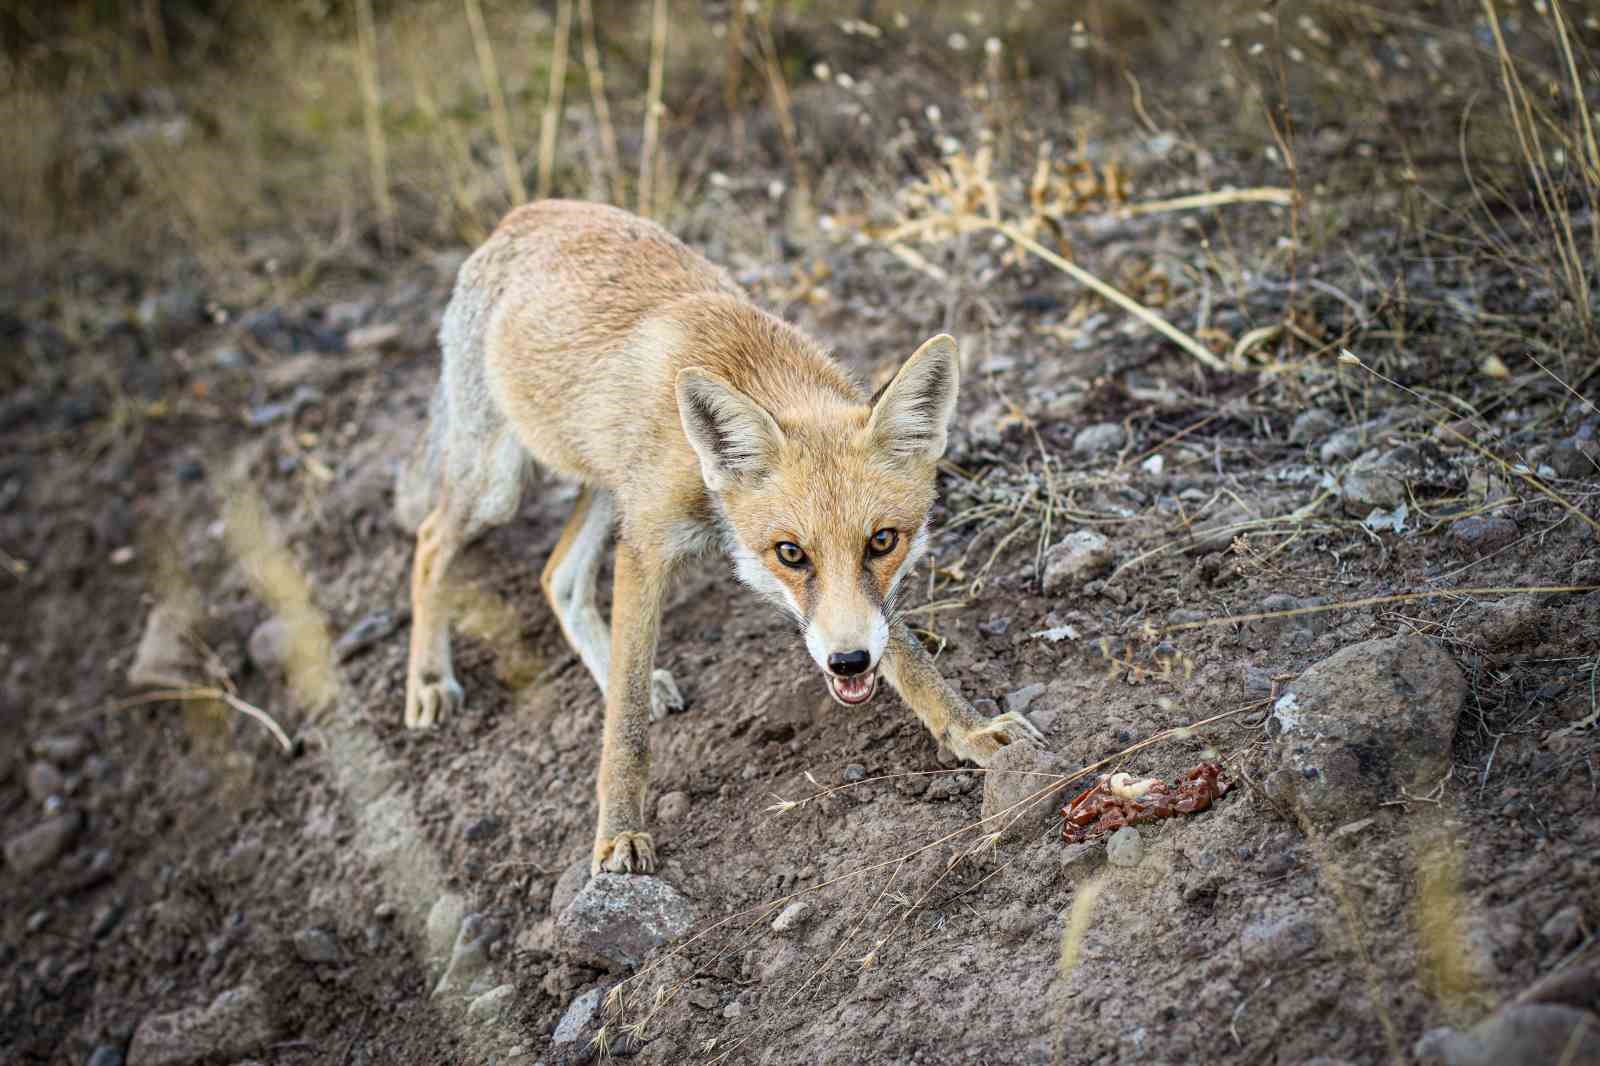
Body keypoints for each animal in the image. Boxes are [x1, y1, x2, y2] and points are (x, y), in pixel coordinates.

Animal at [398, 199, 1043, 870]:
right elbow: (626, 729)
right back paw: (427, 680)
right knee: (431, 544)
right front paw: (618, 831)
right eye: (791, 553)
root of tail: (526, 212)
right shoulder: (645, 549)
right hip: (500, 486)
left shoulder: (860, 610)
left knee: (558, 577)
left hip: (608, 487)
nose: (847, 663)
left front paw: (972, 730)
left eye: (882, 542)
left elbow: (912, 659)